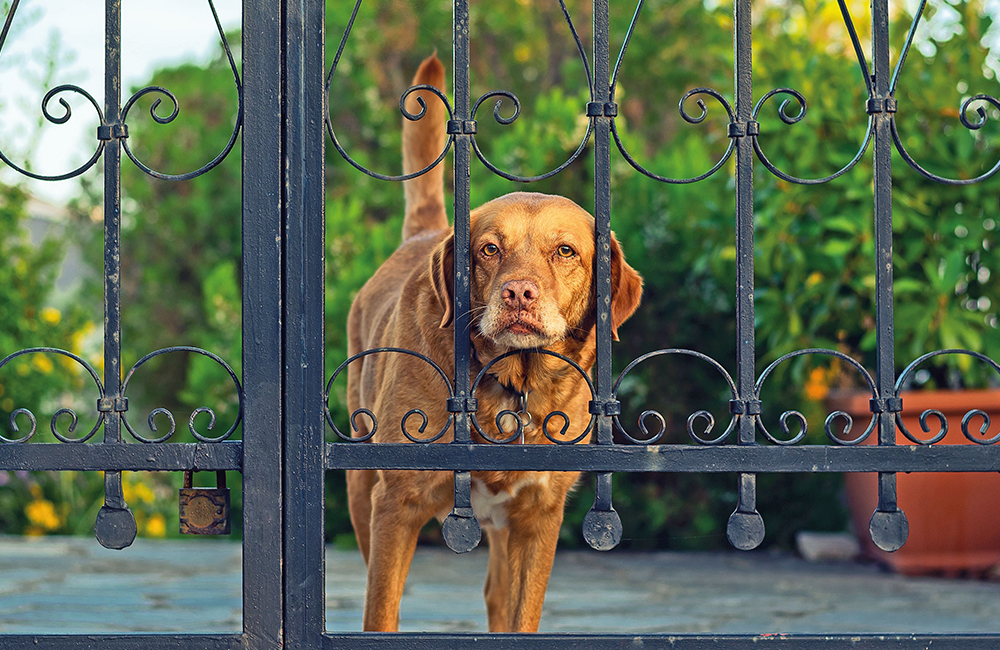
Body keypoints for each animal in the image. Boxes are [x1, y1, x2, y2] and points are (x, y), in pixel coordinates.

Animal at [344, 53, 640, 632]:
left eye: (565, 251)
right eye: (488, 249)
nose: (519, 292)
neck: (509, 383)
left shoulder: (538, 516)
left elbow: (523, 613)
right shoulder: (396, 503)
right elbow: (381, 610)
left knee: (496, 597)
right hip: (360, 483)